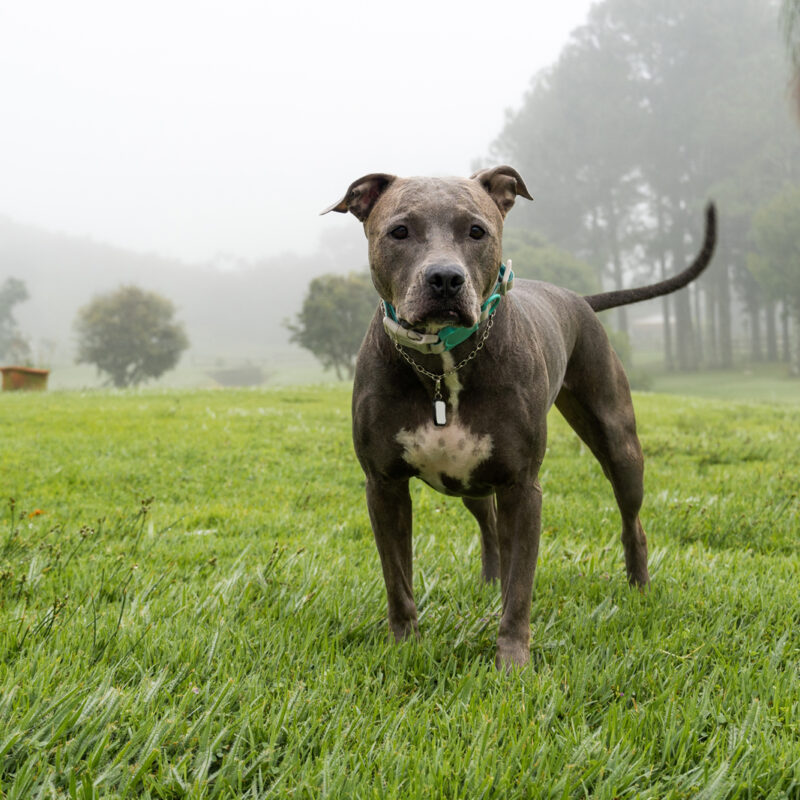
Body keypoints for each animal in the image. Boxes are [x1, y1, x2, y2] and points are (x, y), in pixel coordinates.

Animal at [322, 167, 716, 668]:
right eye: (399, 231)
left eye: (477, 231)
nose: (445, 278)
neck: (442, 363)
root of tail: (578, 297)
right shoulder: (384, 487)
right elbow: (399, 582)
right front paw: (404, 647)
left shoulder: (524, 488)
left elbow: (521, 589)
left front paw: (512, 662)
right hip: (469, 481)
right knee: (490, 527)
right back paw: (490, 581)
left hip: (619, 444)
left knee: (632, 522)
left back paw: (639, 587)